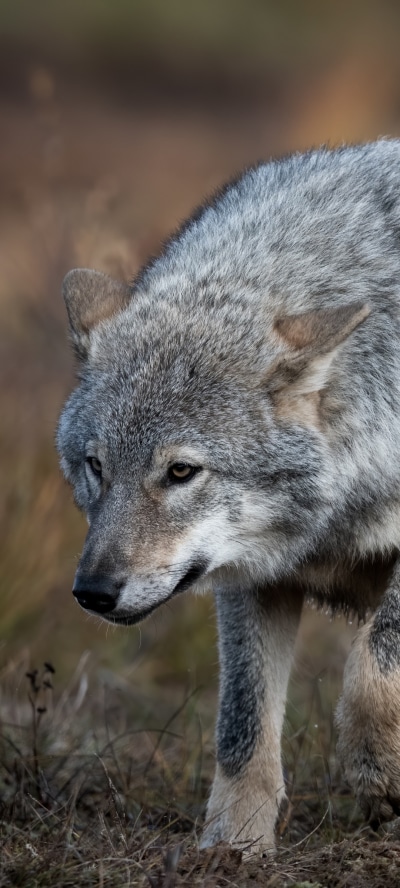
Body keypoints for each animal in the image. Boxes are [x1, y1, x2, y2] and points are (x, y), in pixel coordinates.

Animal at [57, 139, 400, 852]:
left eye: (182, 472)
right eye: (97, 467)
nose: (93, 592)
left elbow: (373, 673)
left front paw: (381, 774)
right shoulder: (252, 577)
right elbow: (242, 724)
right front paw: (233, 849)